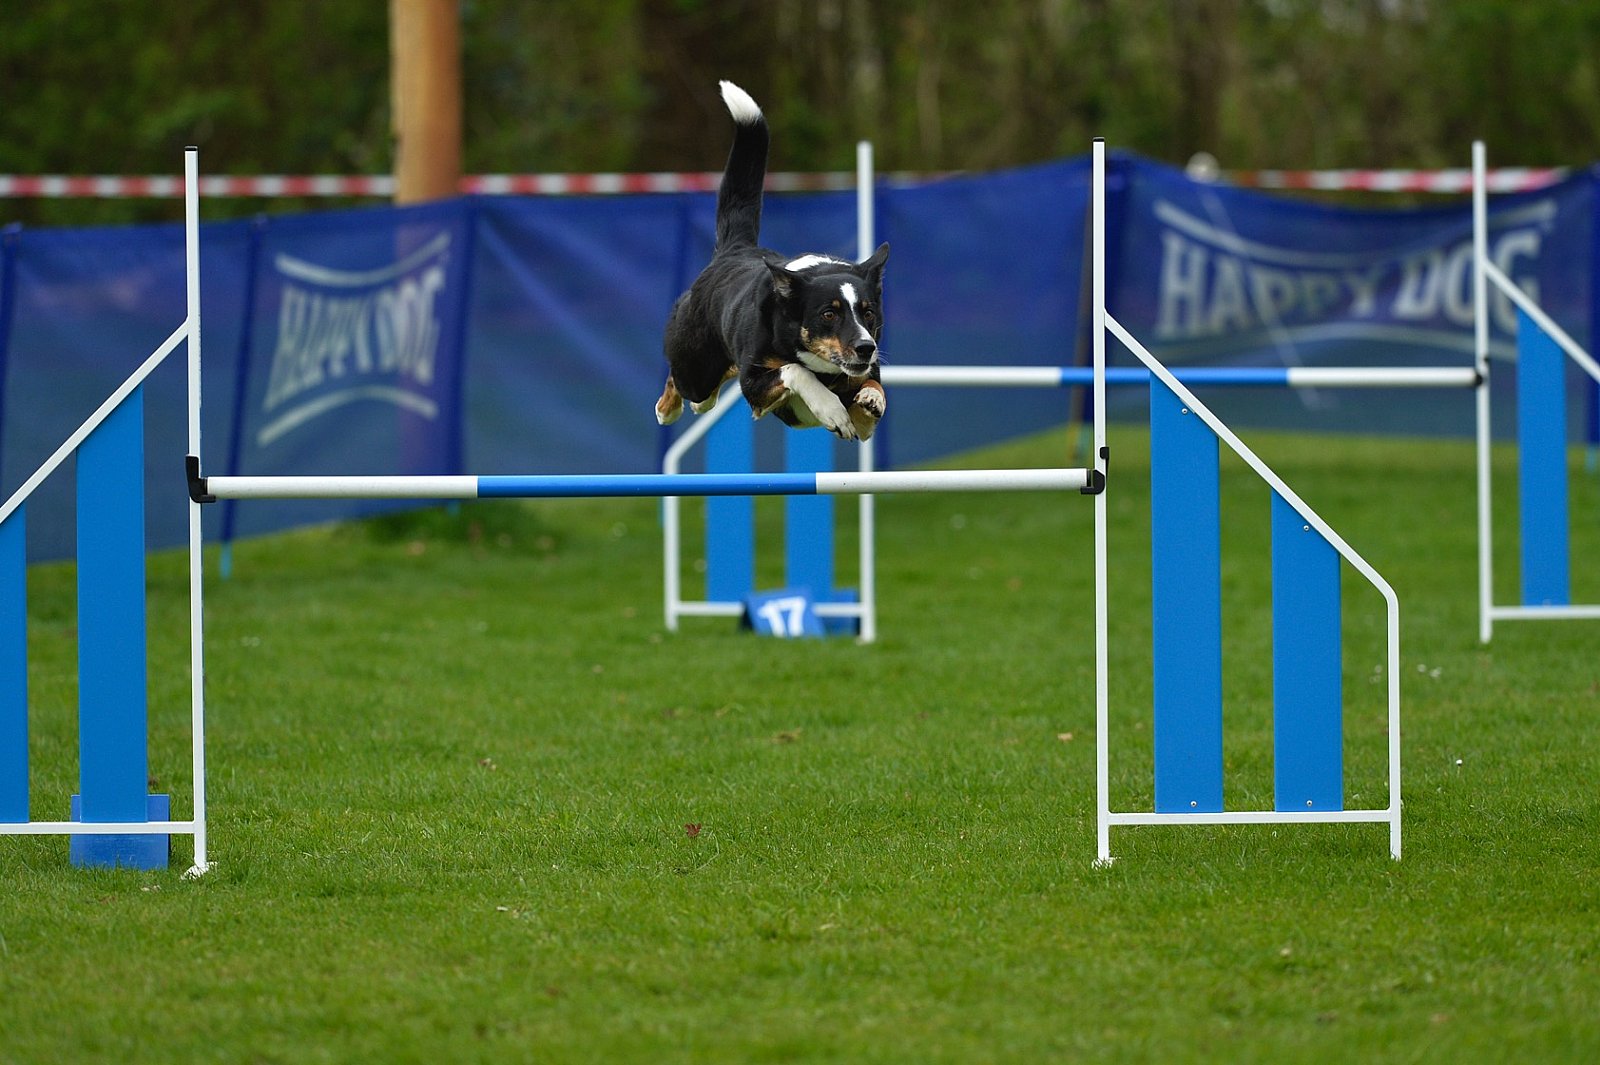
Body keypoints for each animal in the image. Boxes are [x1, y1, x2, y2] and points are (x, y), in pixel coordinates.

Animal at [655, 81, 890, 441]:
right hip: (696, 370)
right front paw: (831, 408)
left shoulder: (863, 384)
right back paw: (667, 408)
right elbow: (795, 370)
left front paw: (871, 399)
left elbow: (872, 391)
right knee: (684, 384)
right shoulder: (753, 383)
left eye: (868, 313)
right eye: (828, 314)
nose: (866, 347)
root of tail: (736, 249)